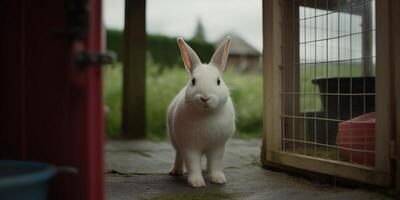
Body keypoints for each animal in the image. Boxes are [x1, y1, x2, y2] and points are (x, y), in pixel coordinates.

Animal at [166, 37, 234, 188]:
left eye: (218, 81)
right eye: (193, 81)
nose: (205, 97)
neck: (206, 114)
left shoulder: (218, 147)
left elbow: (216, 163)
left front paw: (218, 179)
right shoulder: (189, 146)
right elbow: (192, 164)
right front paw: (196, 183)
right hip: (176, 142)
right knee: (179, 156)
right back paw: (176, 171)